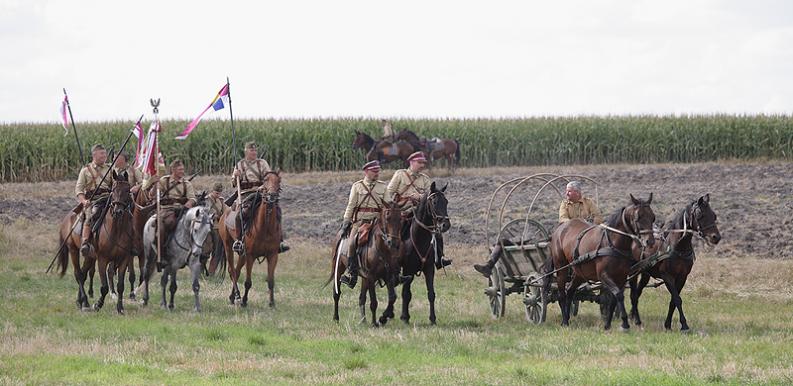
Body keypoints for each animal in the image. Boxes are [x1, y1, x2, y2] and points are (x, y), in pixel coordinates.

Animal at [218, 171, 284, 308]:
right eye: (265, 181)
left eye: (278, 181)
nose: (271, 196)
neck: (265, 228)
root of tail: (224, 213)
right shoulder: (250, 256)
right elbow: (248, 282)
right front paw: (244, 301)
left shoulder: (273, 255)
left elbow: (271, 281)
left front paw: (272, 303)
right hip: (228, 246)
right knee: (232, 270)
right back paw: (238, 296)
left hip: (242, 254)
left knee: (237, 271)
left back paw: (233, 297)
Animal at [400, 182, 448, 324]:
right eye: (434, 202)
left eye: (446, 202)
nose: (445, 224)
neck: (418, 237)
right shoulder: (407, 270)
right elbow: (406, 293)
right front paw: (405, 317)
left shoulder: (429, 268)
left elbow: (431, 294)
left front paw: (433, 319)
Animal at [552, 195, 656, 330]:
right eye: (638, 217)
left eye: (653, 217)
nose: (650, 241)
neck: (613, 244)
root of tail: (560, 229)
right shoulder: (604, 275)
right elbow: (619, 295)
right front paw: (625, 323)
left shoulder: (621, 277)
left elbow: (614, 298)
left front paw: (607, 324)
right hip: (561, 268)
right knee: (562, 294)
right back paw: (564, 320)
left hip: (580, 273)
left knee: (570, 291)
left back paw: (567, 318)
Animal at [628, 195, 720, 330]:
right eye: (700, 214)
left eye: (714, 215)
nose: (716, 237)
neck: (677, 247)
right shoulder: (668, 276)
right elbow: (677, 299)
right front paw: (684, 325)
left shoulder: (682, 277)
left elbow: (673, 300)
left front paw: (668, 324)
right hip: (632, 272)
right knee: (631, 293)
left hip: (645, 273)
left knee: (637, 293)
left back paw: (633, 316)